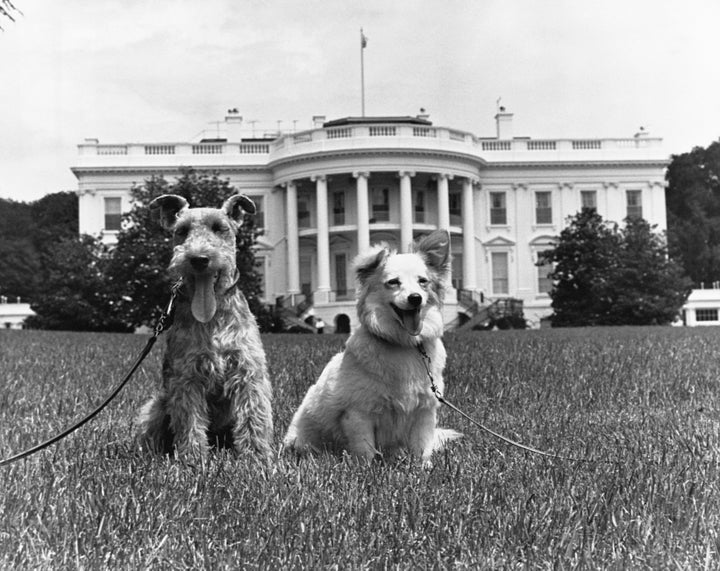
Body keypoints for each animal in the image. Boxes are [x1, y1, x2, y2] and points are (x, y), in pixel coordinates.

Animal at [136, 194, 272, 458]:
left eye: (219, 228)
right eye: (181, 231)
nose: (199, 259)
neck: (213, 316)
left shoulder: (247, 372)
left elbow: (253, 417)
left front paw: (257, 457)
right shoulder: (187, 377)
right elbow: (190, 422)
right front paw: (193, 459)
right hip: (156, 406)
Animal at [282, 229, 462, 464]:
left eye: (423, 281)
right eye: (393, 282)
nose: (415, 298)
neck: (404, 344)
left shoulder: (425, 410)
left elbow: (421, 446)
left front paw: (424, 467)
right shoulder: (358, 413)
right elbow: (365, 449)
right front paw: (366, 468)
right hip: (302, 436)